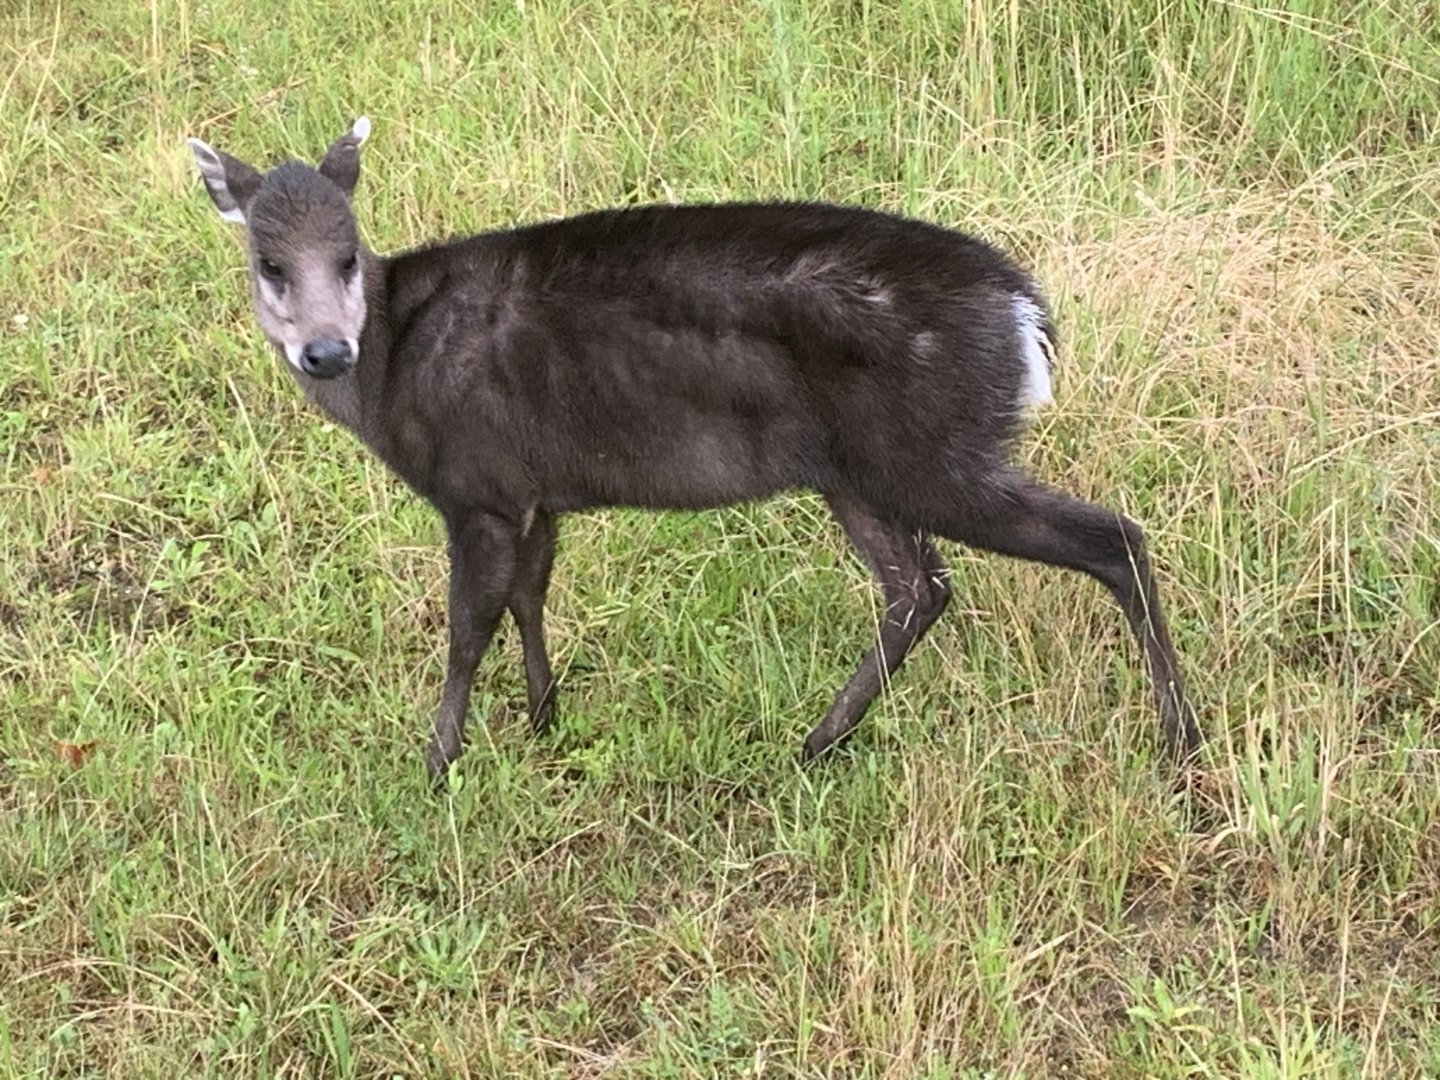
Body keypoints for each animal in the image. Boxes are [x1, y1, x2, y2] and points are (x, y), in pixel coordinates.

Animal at [187, 117, 1203, 786]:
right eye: (268, 263)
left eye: (347, 254)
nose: (327, 351)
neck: (395, 366)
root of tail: (1028, 320)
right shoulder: (534, 489)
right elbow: (529, 599)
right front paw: (545, 722)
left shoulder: (477, 486)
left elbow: (468, 627)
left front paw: (437, 765)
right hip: (857, 470)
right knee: (920, 586)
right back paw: (815, 744)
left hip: (929, 453)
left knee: (1111, 538)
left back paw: (1181, 745)